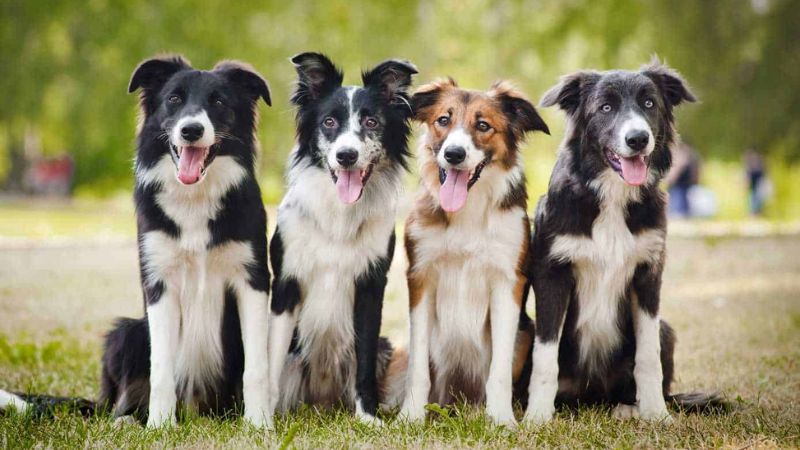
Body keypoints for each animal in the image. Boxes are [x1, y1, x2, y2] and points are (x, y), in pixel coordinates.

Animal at [268, 53, 418, 426]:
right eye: (329, 122)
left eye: (371, 122)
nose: (346, 156)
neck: (339, 215)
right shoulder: (286, 284)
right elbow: (271, 361)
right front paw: (263, 416)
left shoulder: (370, 285)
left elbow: (363, 364)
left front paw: (368, 417)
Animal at [388, 77, 552, 426]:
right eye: (443, 120)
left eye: (483, 125)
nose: (453, 154)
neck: (468, 209)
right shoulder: (420, 277)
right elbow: (418, 369)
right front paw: (411, 416)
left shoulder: (508, 282)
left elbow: (499, 370)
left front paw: (502, 419)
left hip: (526, 334)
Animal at [524, 61, 724, 424]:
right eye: (605, 108)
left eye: (649, 104)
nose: (638, 138)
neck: (612, 197)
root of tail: (593, 394)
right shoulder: (552, 274)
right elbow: (546, 356)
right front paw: (537, 417)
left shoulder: (648, 274)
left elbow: (648, 356)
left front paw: (656, 414)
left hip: (666, 329)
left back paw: (629, 407)